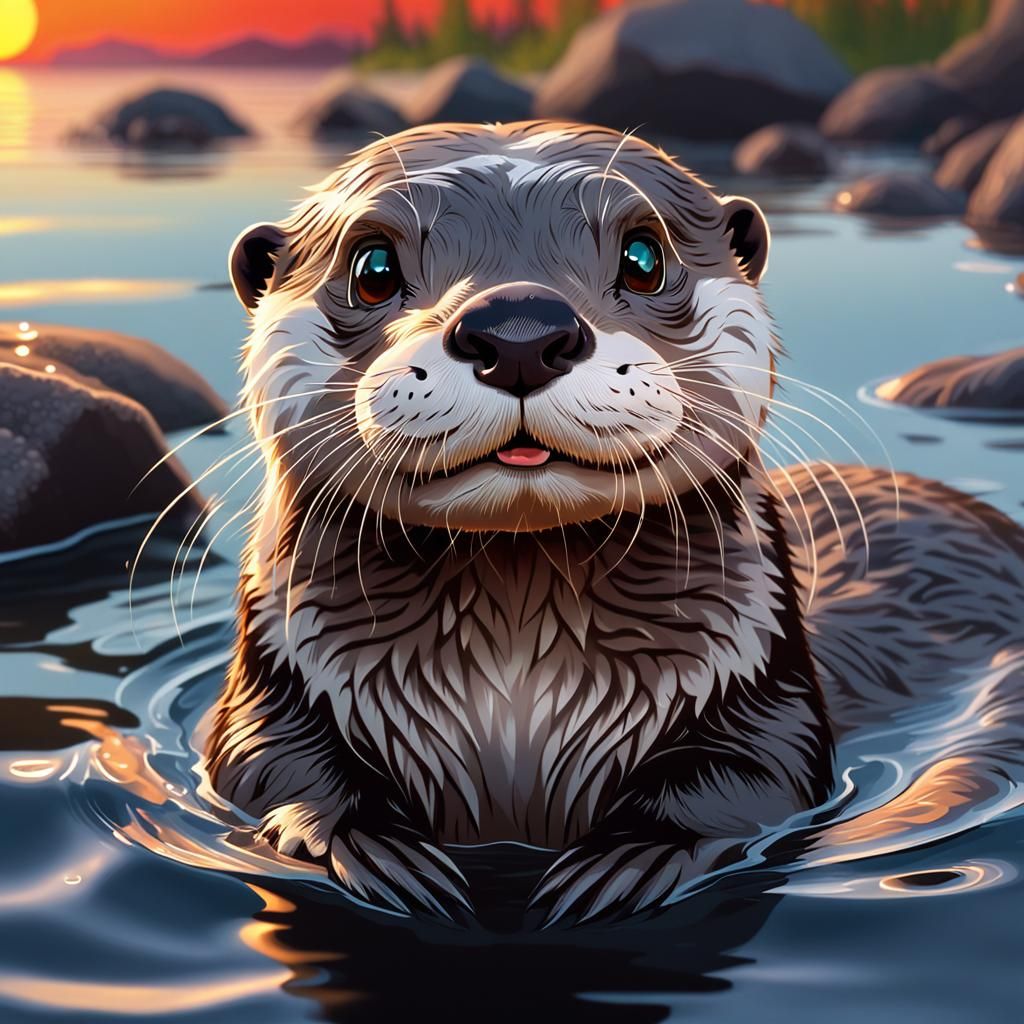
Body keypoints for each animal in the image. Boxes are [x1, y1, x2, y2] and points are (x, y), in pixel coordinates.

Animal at [207, 121, 835, 923]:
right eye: (373, 268)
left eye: (644, 258)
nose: (518, 332)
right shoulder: (275, 681)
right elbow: (269, 767)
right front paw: (374, 848)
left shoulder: (763, 682)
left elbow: (752, 780)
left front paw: (630, 858)